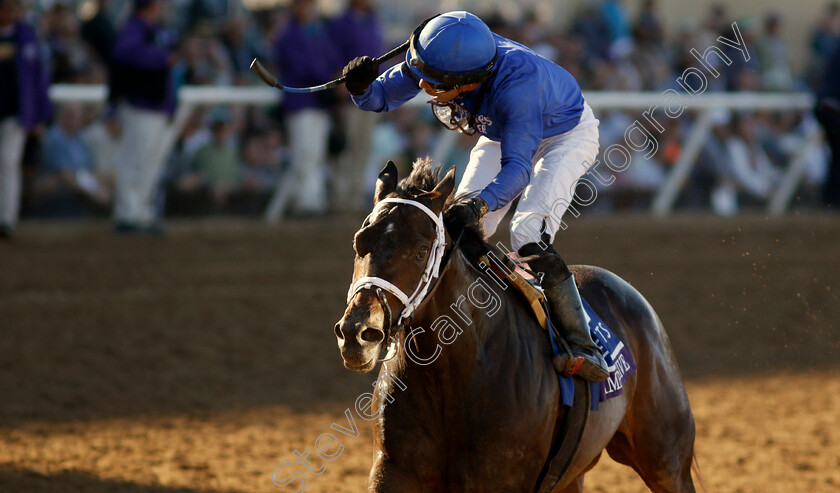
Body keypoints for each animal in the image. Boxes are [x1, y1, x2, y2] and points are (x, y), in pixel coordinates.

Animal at [334, 161, 696, 492]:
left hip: (666, 459)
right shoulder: (394, 471)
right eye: (358, 242)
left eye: (421, 250)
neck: (452, 379)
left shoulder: (503, 478)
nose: (357, 333)